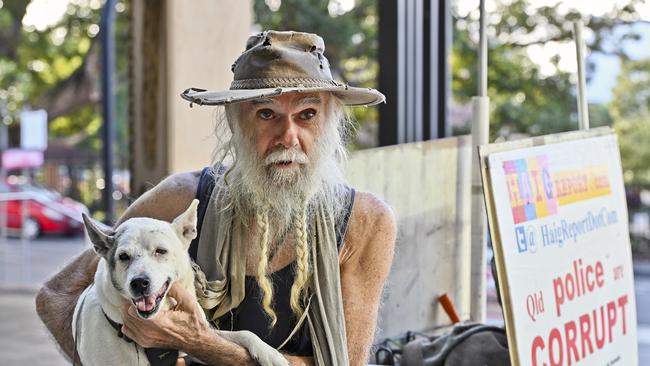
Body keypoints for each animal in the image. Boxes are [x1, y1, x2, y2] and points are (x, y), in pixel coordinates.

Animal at [71, 200, 288, 366]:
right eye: (123, 256)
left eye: (160, 251)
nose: (139, 282)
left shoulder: (196, 342)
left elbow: (243, 333)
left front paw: (270, 354)